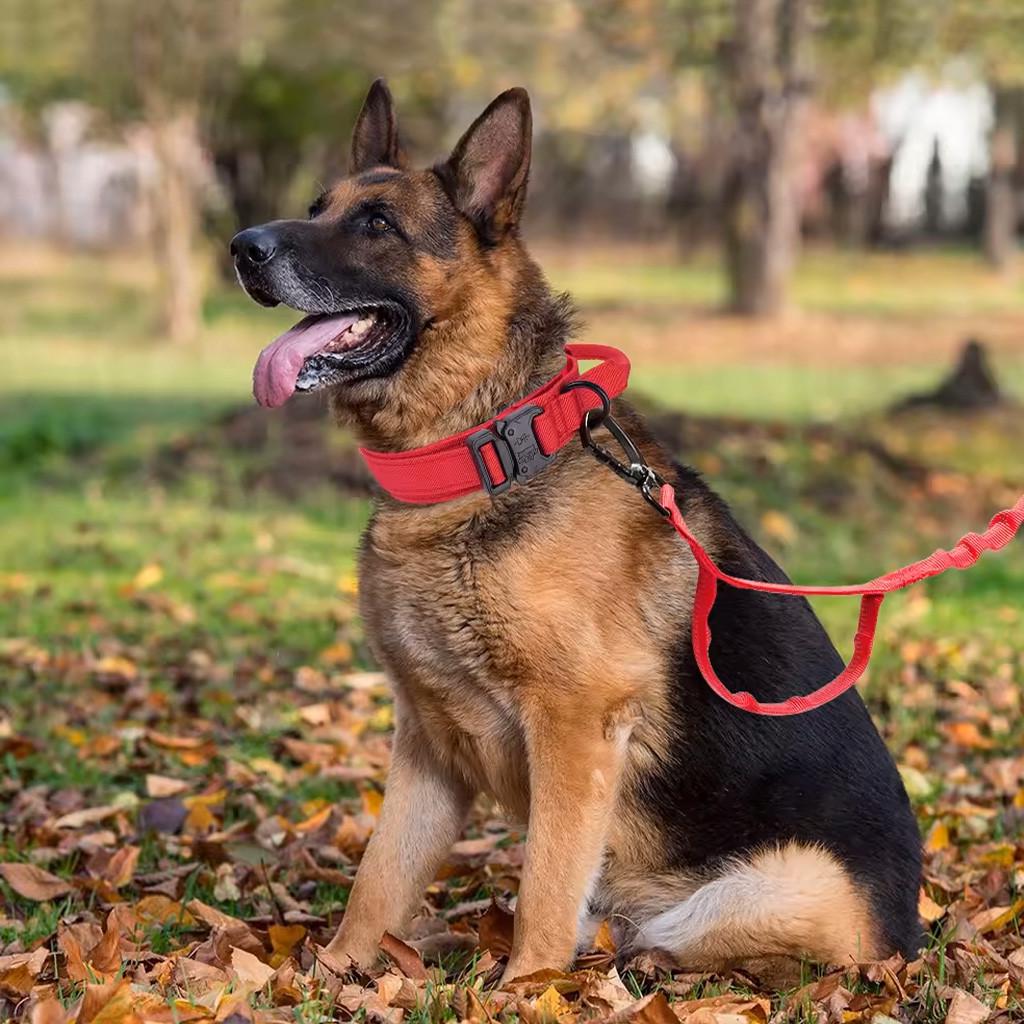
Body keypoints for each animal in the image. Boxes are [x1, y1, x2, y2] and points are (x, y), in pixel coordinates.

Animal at [232, 81, 921, 983]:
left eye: (377, 223)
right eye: (319, 207)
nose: (242, 248)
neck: (484, 451)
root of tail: (908, 941)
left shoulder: (574, 731)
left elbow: (544, 887)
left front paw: (526, 988)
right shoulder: (427, 743)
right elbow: (379, 878)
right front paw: (335, 973)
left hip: (765, 890)